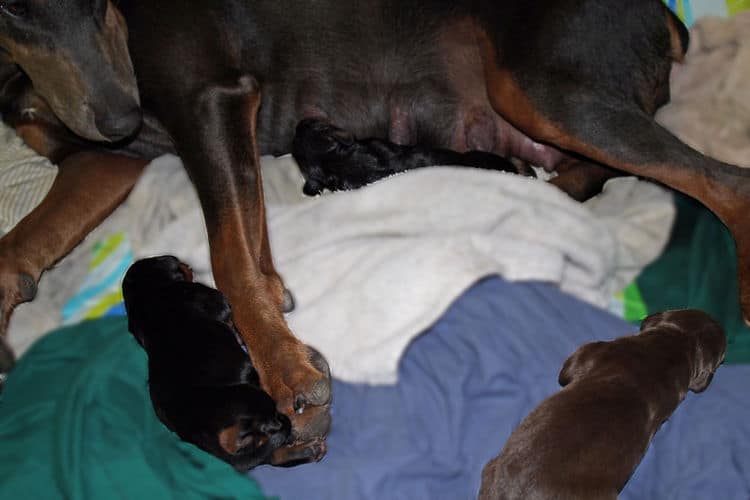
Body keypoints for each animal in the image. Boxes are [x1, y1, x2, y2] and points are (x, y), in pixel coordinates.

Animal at [122, 256, 328, 470]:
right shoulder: (212, 298)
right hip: (256, 401)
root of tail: (218, 440)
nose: (187, 265)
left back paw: (308, 450)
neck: (145, 297)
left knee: (269, 455)